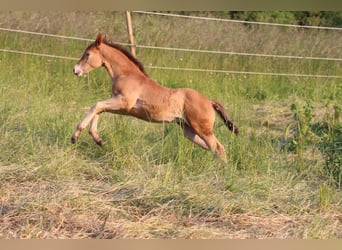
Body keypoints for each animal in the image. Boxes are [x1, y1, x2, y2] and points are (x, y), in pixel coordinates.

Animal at [71, 33, 238, 160]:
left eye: (87, 54)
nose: (75, 70)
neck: (127, 75)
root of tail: (209, 101)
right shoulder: (121, 106)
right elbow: (99, 109)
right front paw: (98, 139)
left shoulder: (124, 103)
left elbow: (96, 105)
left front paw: (75, 136)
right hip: (189, 130)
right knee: (213, 148)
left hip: (202, 129)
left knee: (218, 147)